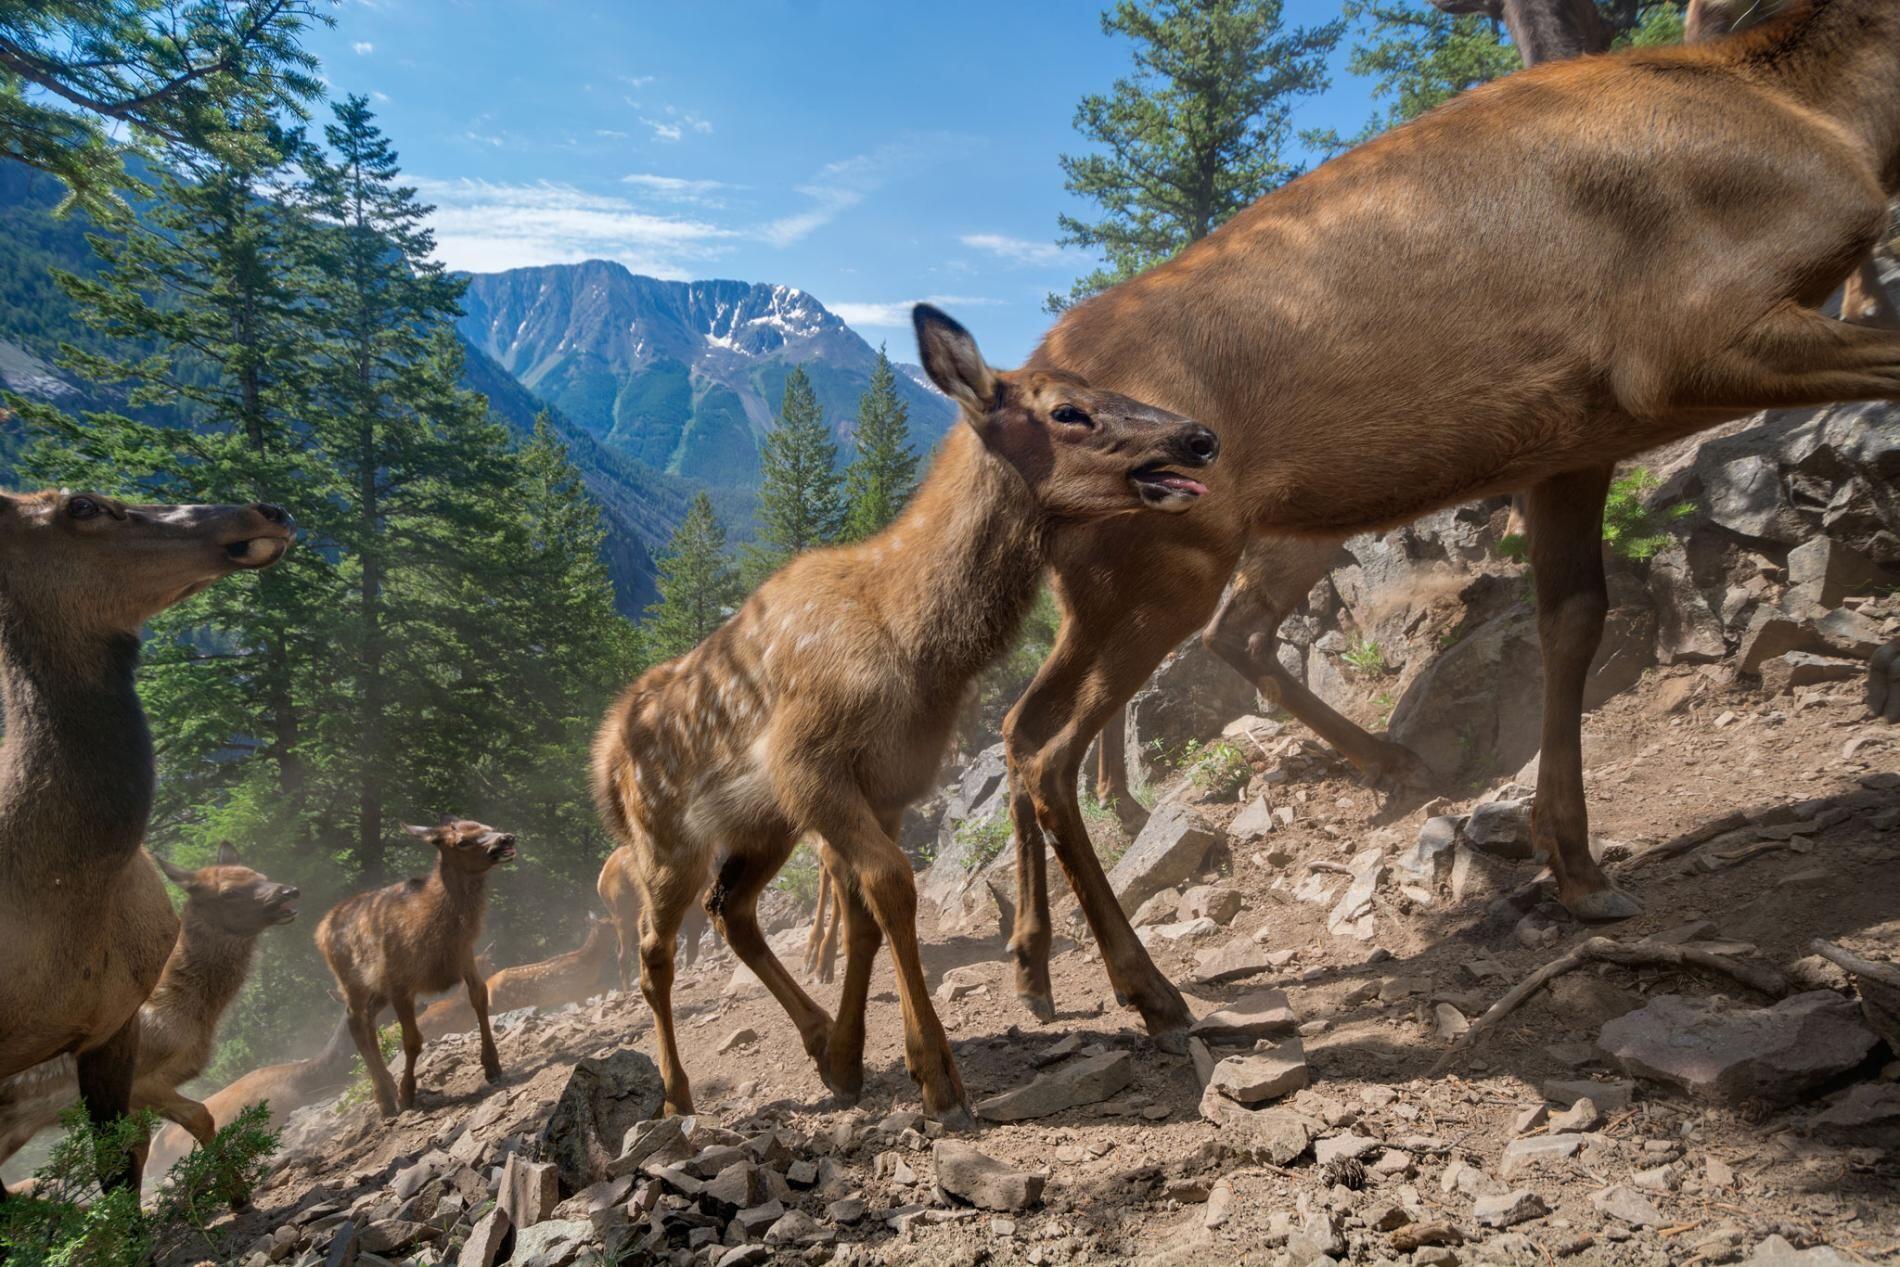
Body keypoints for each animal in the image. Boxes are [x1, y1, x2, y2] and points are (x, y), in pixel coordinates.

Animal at [315, 816, 516, 1116]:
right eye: (462, 841)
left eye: (487, 826)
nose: (507, 838)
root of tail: (321, 929)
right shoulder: (400, 983)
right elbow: (411, 1040)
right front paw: (407, 1093)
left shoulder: (464, 957)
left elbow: (480, 998)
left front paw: (492, 1066)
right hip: (352, 982)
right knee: (354, 1021)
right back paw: (385, 1097)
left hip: (378, 989)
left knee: (368, 1020)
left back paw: (386, 1084)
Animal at [592, 309, 1216, 1132]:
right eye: (1067, 410)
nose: (1200, 436)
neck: (917, 647)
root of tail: (602, 762)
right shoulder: (809, 763)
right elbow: (892, 885)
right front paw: (937, 1078)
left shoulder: (884, 784)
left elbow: (865, 910)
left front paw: (853, 1053)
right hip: (665, 842)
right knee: (652, 955)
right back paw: (676, 1095)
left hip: (761, 828)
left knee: (731, 911)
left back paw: (819, 1042)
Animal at [1003, 0, 1900, 1048]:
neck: (1838, 120)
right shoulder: (1689, 341)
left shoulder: (1578, 439)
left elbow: (1573, 619)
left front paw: (1577, 865)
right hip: (1172, 560)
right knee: (1059, 736)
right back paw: (1147, 983)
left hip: (1164, 566)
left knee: (1055, 713)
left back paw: (1038, 960)